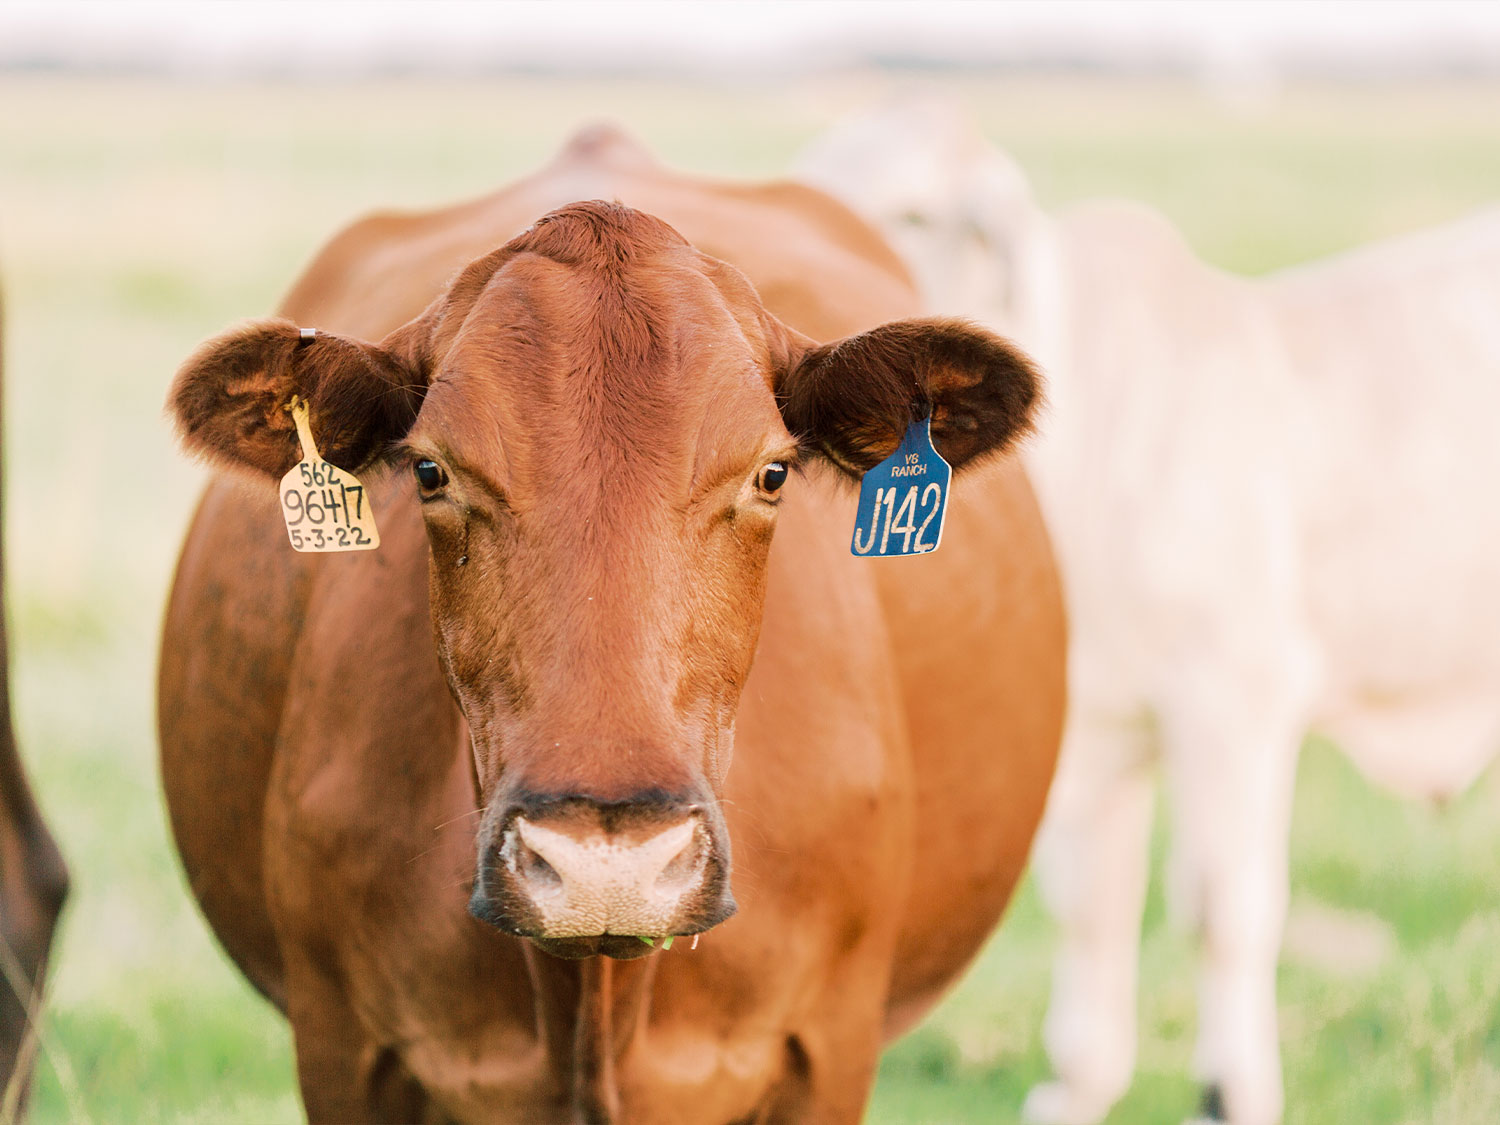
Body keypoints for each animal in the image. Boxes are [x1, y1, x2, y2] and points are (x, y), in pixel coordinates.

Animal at [796, 101, 1500, 1125]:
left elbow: (1223, 909)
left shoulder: (1235, 701)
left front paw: (1233, 1093)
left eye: (917, 213)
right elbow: (1090, 904)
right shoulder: (1088, 733)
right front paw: (1078, 1085)